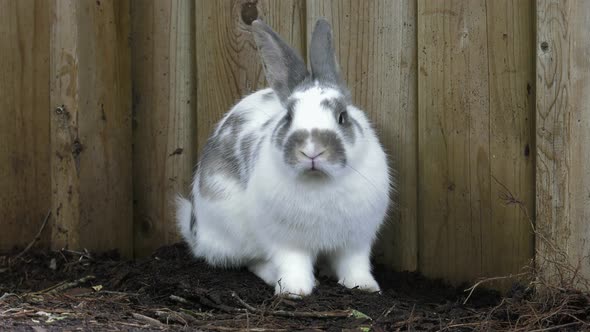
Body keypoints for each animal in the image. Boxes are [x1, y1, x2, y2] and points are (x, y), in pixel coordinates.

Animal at [178, 18, 396, 296]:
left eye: (342, 116)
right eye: (289, 117)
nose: (311, 150)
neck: (319, 183)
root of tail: (196, 233)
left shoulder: (355, 241)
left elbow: (354, 264)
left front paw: (364, 286)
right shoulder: (287, 241)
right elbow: (293, 263)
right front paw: (295, 290)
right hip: (233, 230)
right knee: (252, 261)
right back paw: (274, 276)